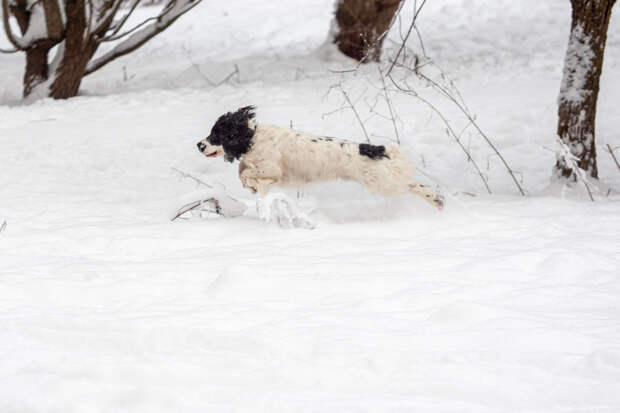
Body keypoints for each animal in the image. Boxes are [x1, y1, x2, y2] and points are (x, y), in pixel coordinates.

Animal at [196, 106, 444, 209]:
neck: (252, 137)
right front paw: (254, 188)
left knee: (415, 185)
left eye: (217, 134)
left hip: (383, 183)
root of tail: (376, 149)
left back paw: (437, 200)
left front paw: (255, 185)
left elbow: (247, 174)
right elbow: (244, 173)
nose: (199, 145)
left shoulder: (271, 168)